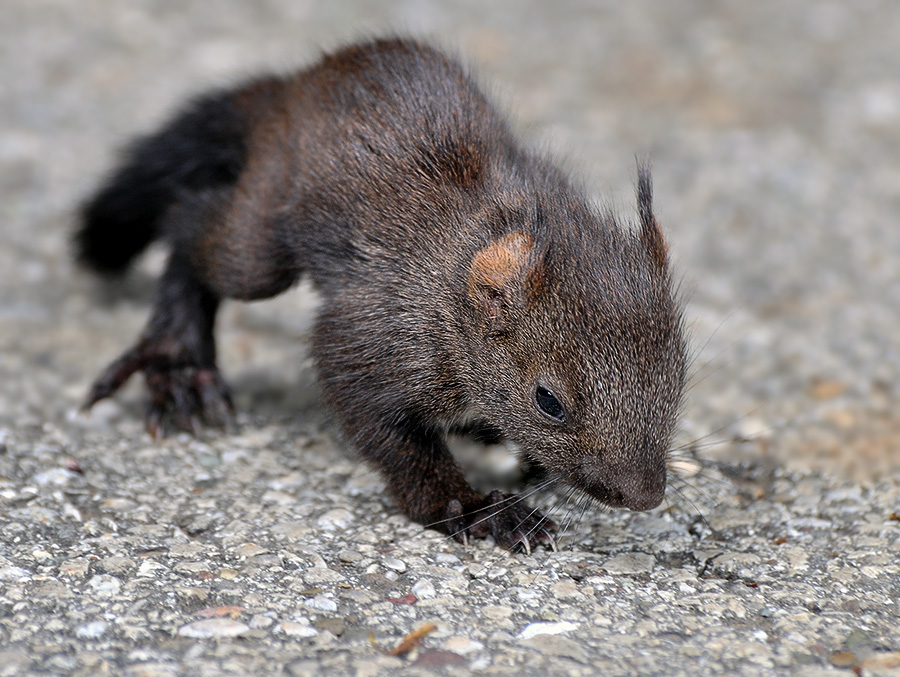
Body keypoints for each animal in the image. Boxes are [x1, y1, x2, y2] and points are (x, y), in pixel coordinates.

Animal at [75, 38, 688, 548]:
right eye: (548, 401)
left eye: (677, 376)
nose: (644, 496)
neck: (452, 302)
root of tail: (292, 90)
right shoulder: (376, 334)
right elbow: (388, 432)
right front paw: (473, 508)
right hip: (261, 234)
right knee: (191, 231)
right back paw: (177, 361)